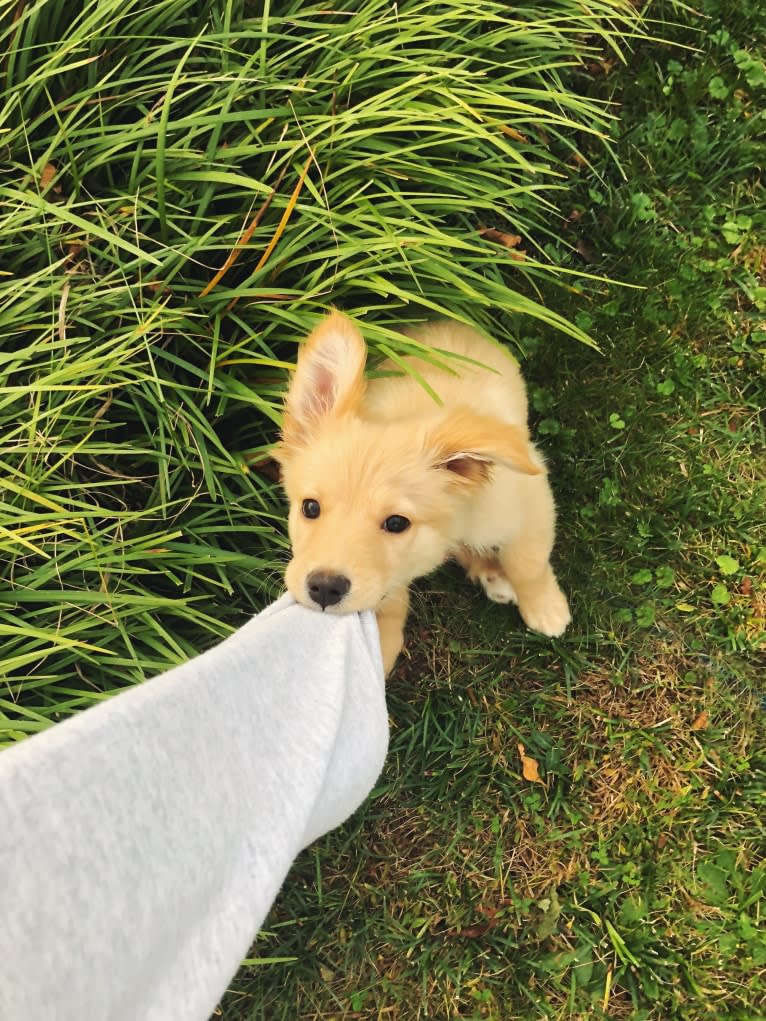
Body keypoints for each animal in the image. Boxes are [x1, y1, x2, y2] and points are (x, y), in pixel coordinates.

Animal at [273, 312, 571, 677]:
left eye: (397, 523)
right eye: (310, 507)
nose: (325, 588)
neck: (450, 527)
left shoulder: (529, 499)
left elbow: (528, 563)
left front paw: (545, 608)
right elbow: (390, 606)